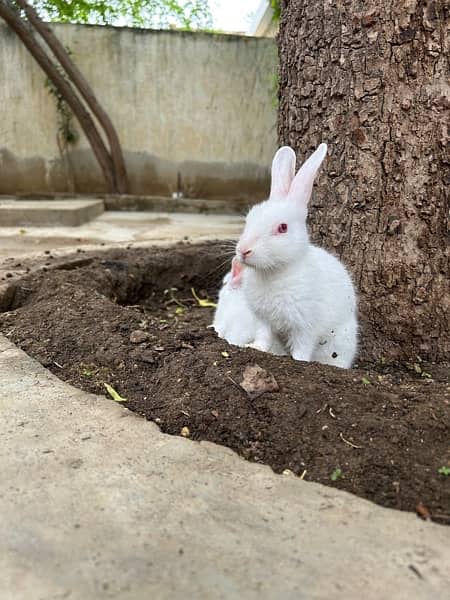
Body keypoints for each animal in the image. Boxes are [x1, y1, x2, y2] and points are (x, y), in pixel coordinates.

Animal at [236, 143, 358, 368]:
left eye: (282, 228)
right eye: (249, 219)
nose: (244, 250)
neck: (274, 272)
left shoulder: (305, 326)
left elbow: (303, 346)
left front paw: (298, 360)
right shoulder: (265, 321)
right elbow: (264, 337)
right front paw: (255, 348)